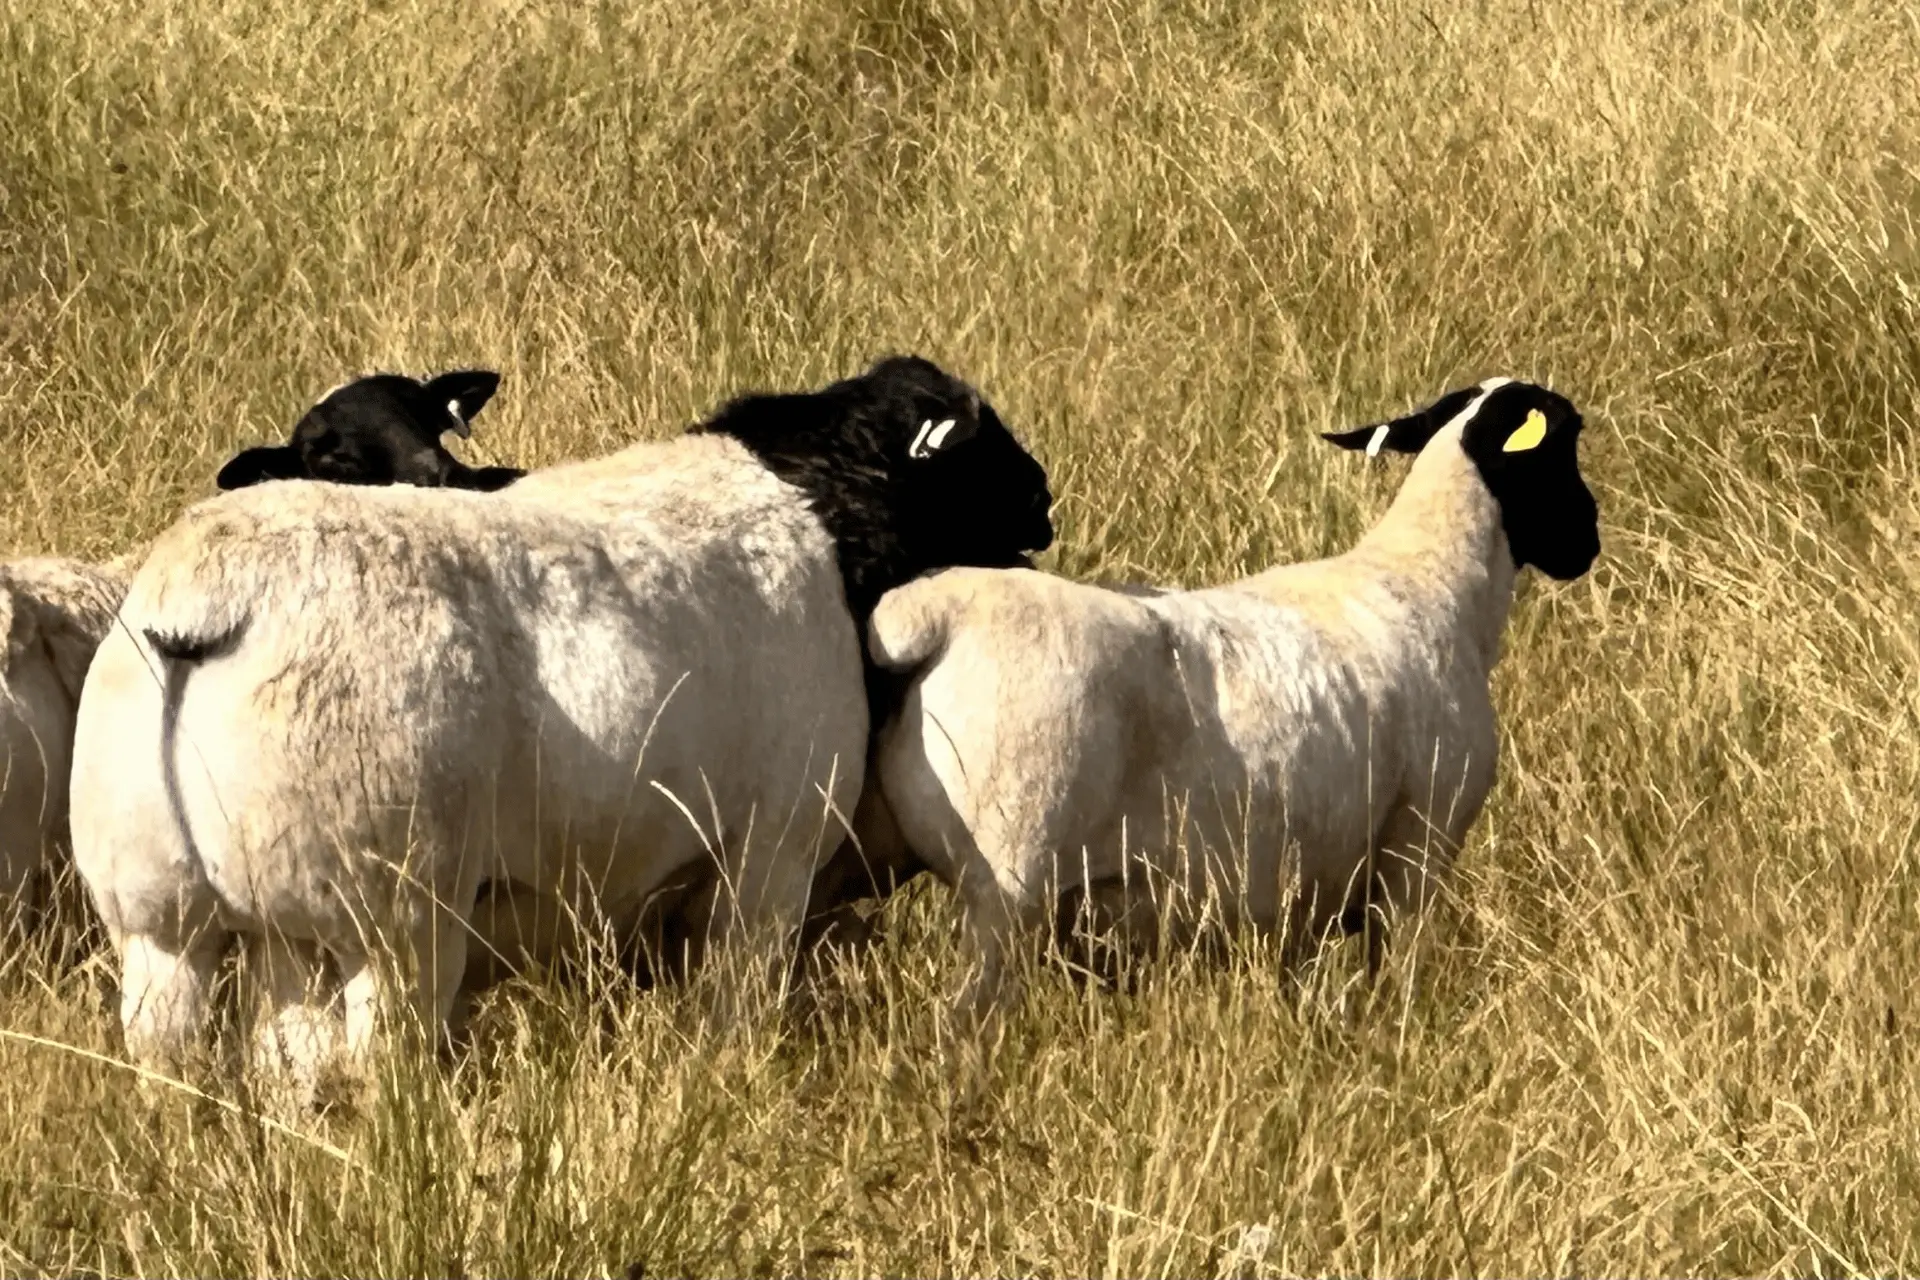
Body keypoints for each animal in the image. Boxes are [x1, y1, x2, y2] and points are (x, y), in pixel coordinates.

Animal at [68, 354, 1054, 1094]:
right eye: (969, 450)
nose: (1044, 499)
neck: (827, 514)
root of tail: (212, 599)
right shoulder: (770, 860)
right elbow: (737, 1017)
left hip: (166, 929)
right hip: (391, 925)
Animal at [854, 376, 1600, 1013]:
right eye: (1564, 446)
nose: (1588, 538)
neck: (1432, 579)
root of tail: (934, 613)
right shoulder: (1416, 852)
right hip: (1006, 883)